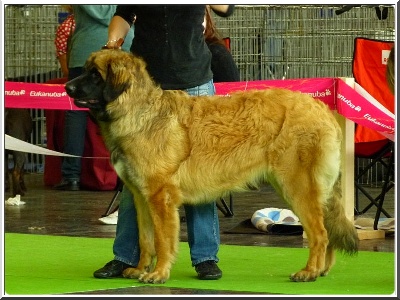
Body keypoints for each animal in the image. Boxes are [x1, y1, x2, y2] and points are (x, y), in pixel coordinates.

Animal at [65, 49, 360, 284]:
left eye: (95, 75)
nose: (67, 87)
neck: (140, 112)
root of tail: (321, 107)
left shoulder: (161, 198)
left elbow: (162, 240)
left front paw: (158, 273)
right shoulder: (141, 197)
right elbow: (145, 239)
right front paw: (139, 269)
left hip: (297, 188)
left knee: (319, 233)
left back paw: (309, 272)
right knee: (327, 230)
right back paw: (322, 270)